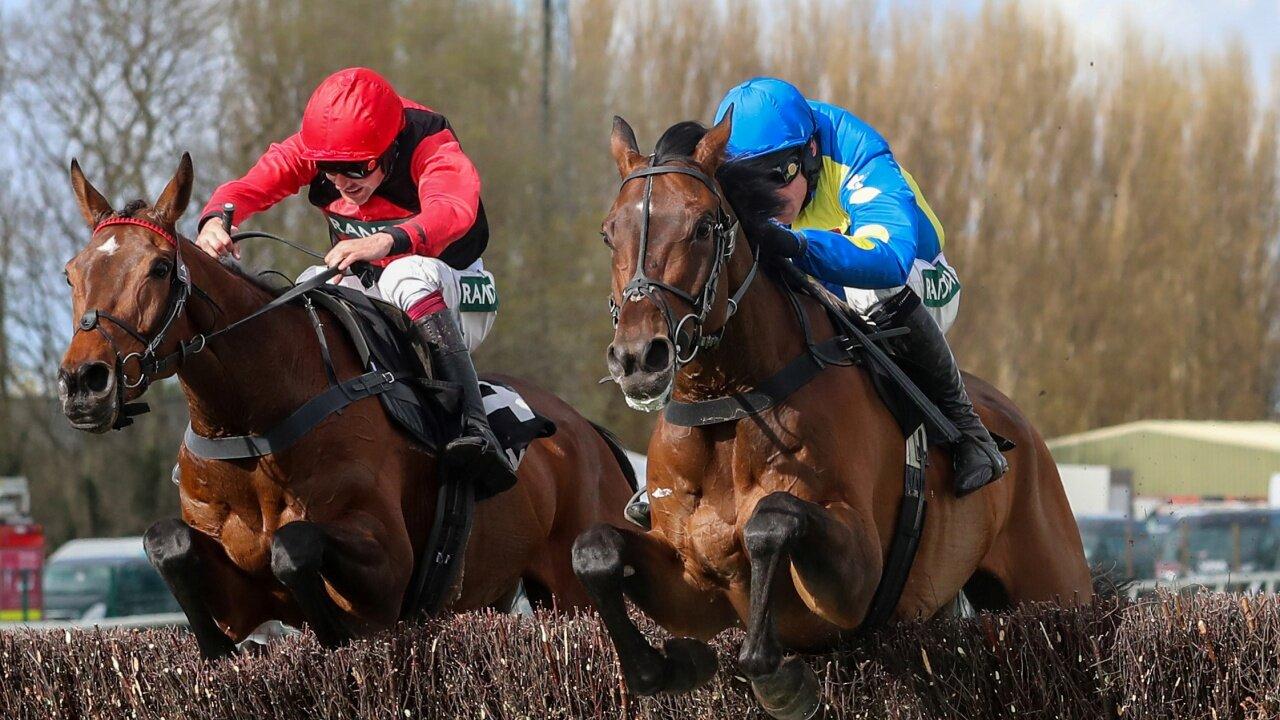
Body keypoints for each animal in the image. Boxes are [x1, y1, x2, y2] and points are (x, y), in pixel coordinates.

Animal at [58, 154, 634, 661]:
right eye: (71, 273)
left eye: (158, 267)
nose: (84, 382)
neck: (254, 426)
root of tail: (590, 434)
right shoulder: (240, 596)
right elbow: (166, 542)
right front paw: (220, 649)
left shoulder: (388, 570)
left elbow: (294, 546)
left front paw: (333, 634)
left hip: (574, 587)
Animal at [573, 114, 1090, 712]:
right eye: (609, 232)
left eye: (703, 226)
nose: (638, 357)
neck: (727, 404)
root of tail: (1020, 428)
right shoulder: (691, 583)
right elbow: (595, 549)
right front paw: (664, 665)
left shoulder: (858, 576)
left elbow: (774, 519)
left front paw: (776, 676)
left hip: (1057, 584)